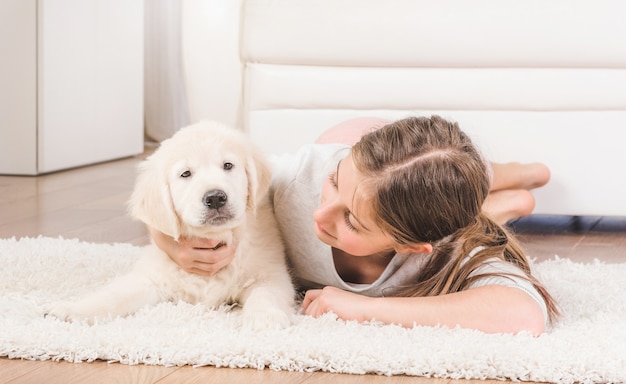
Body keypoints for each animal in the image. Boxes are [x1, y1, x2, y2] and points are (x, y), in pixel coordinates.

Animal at [46, 121, 294, 330]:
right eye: (185, 174)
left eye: (228, 165)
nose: (215, 198)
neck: (216, 236)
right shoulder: (151, 278)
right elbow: (113, 296)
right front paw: (71, 310)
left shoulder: (271, 274)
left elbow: (265, 294)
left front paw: (265, 319)